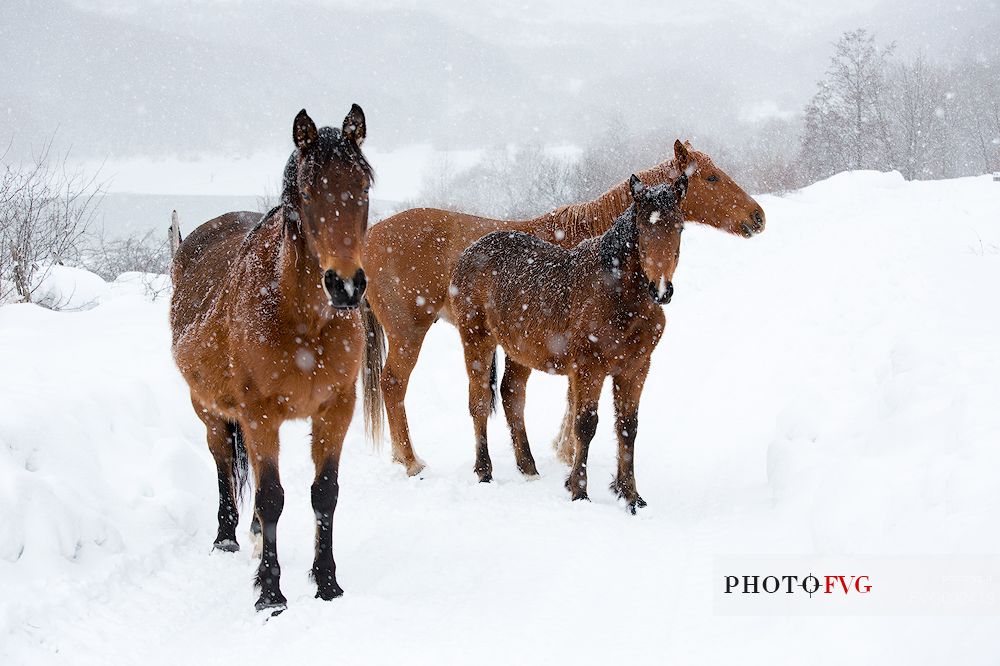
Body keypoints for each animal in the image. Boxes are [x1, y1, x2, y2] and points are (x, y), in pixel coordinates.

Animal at [170, 106, 374, 608]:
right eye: (308, 191)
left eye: (363, 188)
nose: (346, 285)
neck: (301, 322)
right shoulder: (260, 414)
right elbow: (271, 498)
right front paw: (270, 593)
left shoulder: (336, 409)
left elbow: (324, 494)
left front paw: (326, 582)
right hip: (209, 409)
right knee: (223, 461)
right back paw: (227, 537)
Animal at [360, 140, 764, 474]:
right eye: (711, 177)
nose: (757, 216)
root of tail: (370, 237)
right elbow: (574, 401)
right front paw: (568, 452)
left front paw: (561, 449)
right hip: (410, 331)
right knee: (393, 385)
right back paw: (411, 461)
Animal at [452, 171, 688, 508]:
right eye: (643, 227)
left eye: (680, 227)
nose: (661, 289)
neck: (617, 294)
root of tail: (470, 253)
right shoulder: (590, 369)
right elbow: (585, 425)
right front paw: (579, 491)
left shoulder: (635, 369)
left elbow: (627, 427)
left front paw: (630, 496)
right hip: (477, 340)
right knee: (480, 402)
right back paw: (485, 471)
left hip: (519, 351)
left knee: (513, 396)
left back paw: (528, 467)